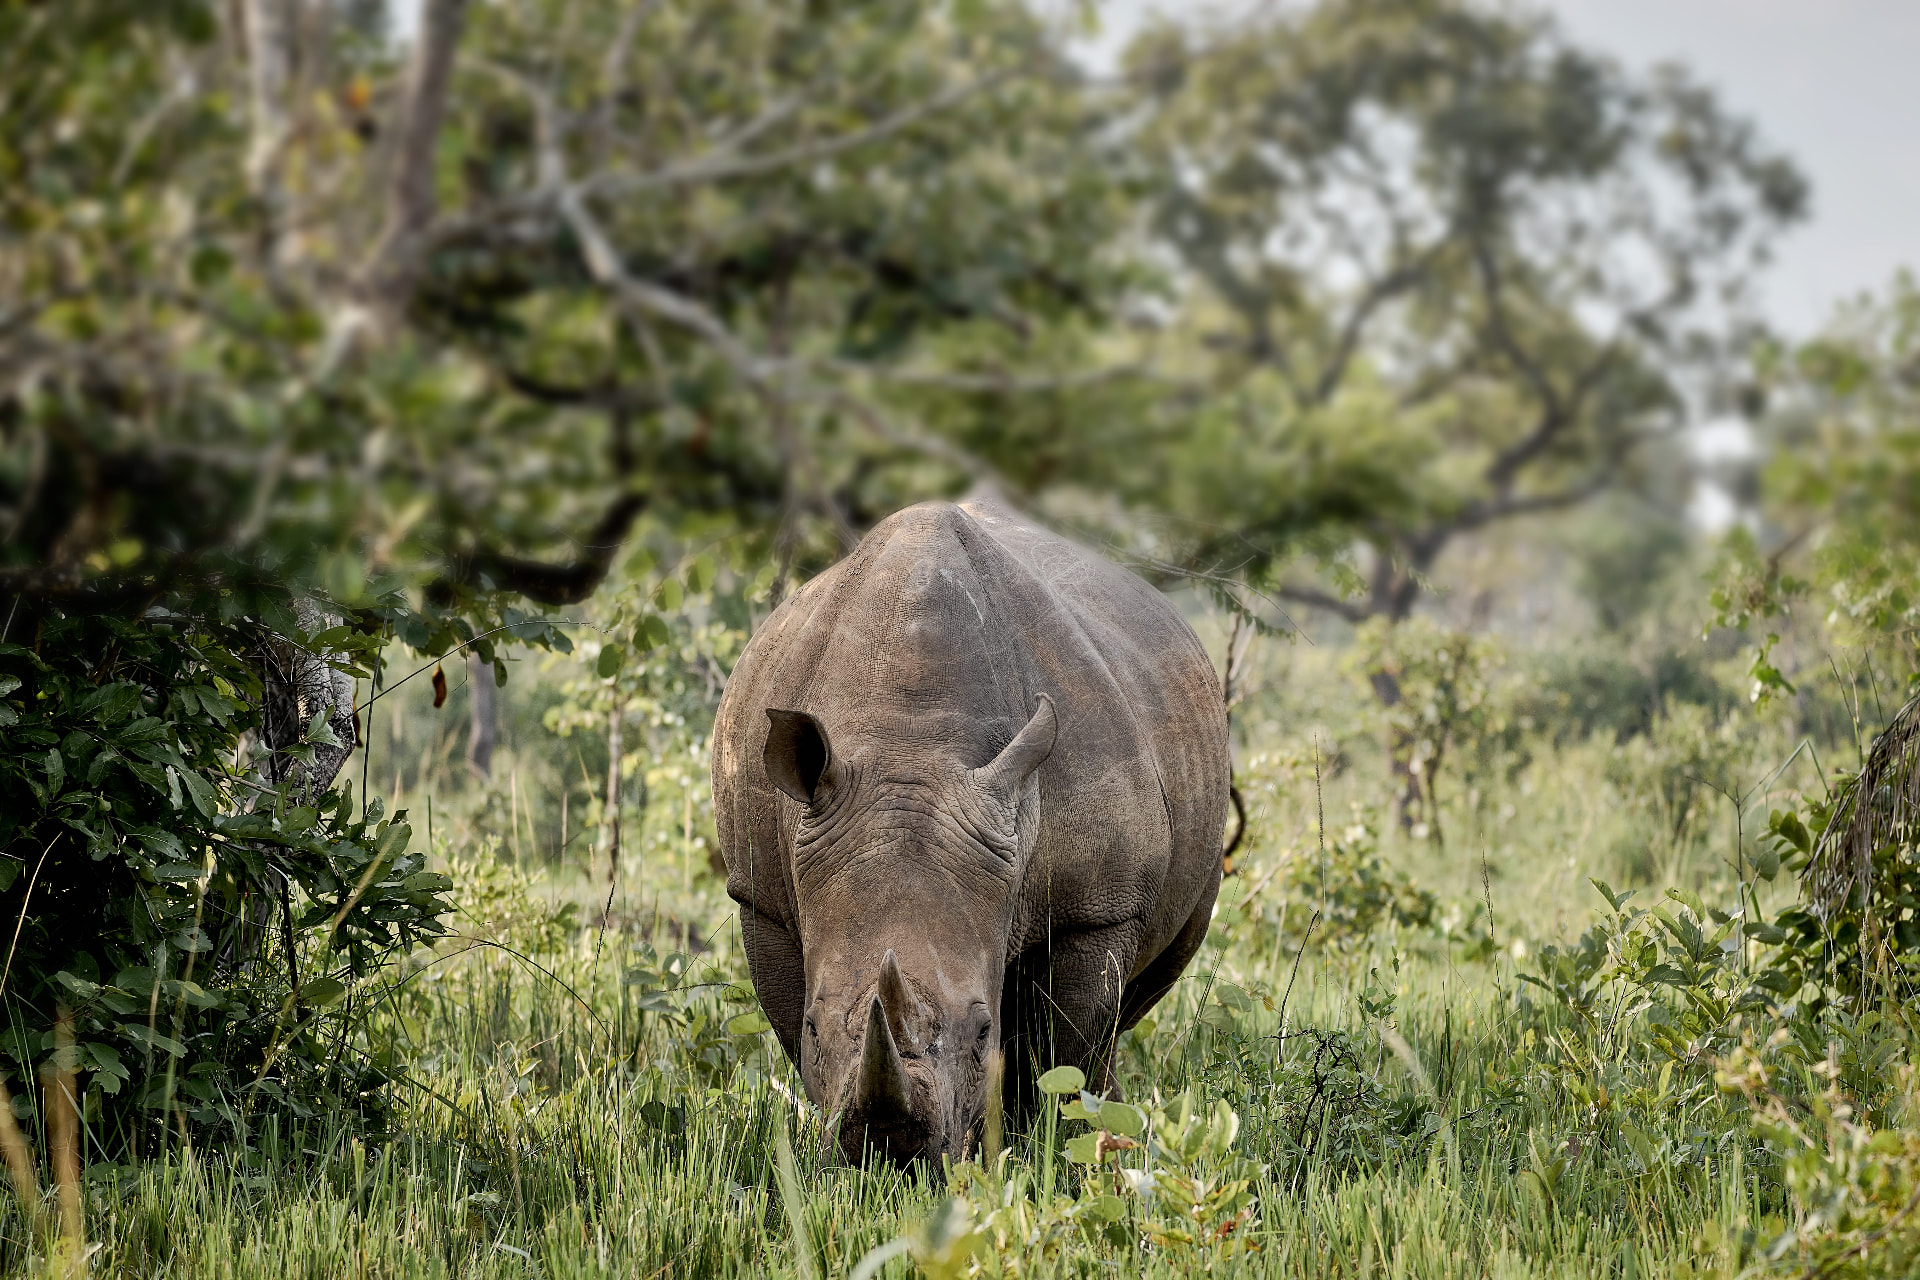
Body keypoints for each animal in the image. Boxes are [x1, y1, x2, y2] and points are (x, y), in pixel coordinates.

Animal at [711, 500, 1229, 1166]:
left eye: (983, 1030)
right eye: (812, 1028)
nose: (889, 1159)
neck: (908, 738)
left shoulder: (1099, 905)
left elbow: (1060, 1048)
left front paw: (1039, 1150)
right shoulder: (764, 898)